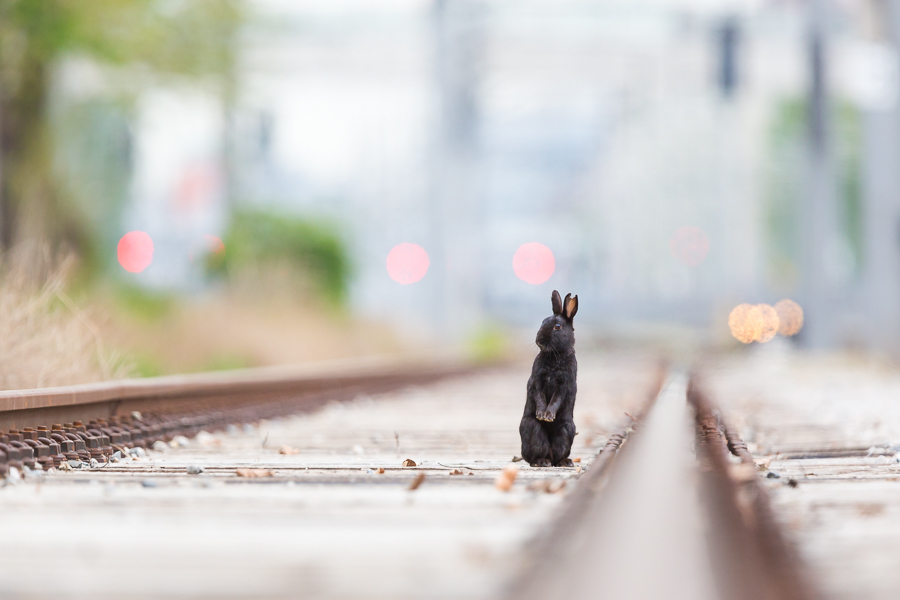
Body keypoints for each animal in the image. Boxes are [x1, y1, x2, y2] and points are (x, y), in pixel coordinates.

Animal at [519, 290, 579, 467]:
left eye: (557, 326)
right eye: (543, 322)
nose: (539, 339)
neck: (555, 355)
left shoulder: (564, 384)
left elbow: (556, 400)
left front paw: (548, 416)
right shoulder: (537, 380)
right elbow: (539, 396)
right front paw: (541, 415)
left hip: (567, 430)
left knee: (558, 454)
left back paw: (565, 462)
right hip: (532, 430)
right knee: (534, 454)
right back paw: (541, 462)